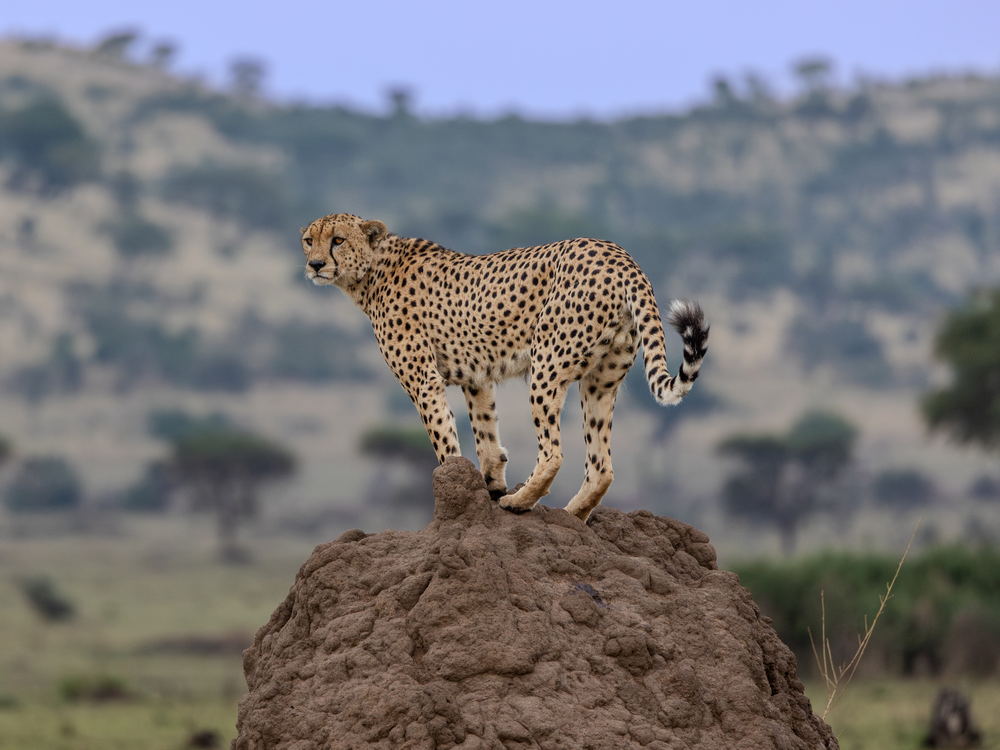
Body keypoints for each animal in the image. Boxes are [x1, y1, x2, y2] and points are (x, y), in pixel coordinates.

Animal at [301, 213, 709, 522]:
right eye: (308, 240)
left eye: (337, 240)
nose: (315, 264)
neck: (373, 272)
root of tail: (618, 253)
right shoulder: (476, 377)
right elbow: (486, 436)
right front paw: (490, 485)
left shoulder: (423, 381)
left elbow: (444, 440)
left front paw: (460, 491)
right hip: (600, 381)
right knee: (602, 467)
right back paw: (571, 514)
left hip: (547, 363)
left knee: (553, 453)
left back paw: (520, 501)